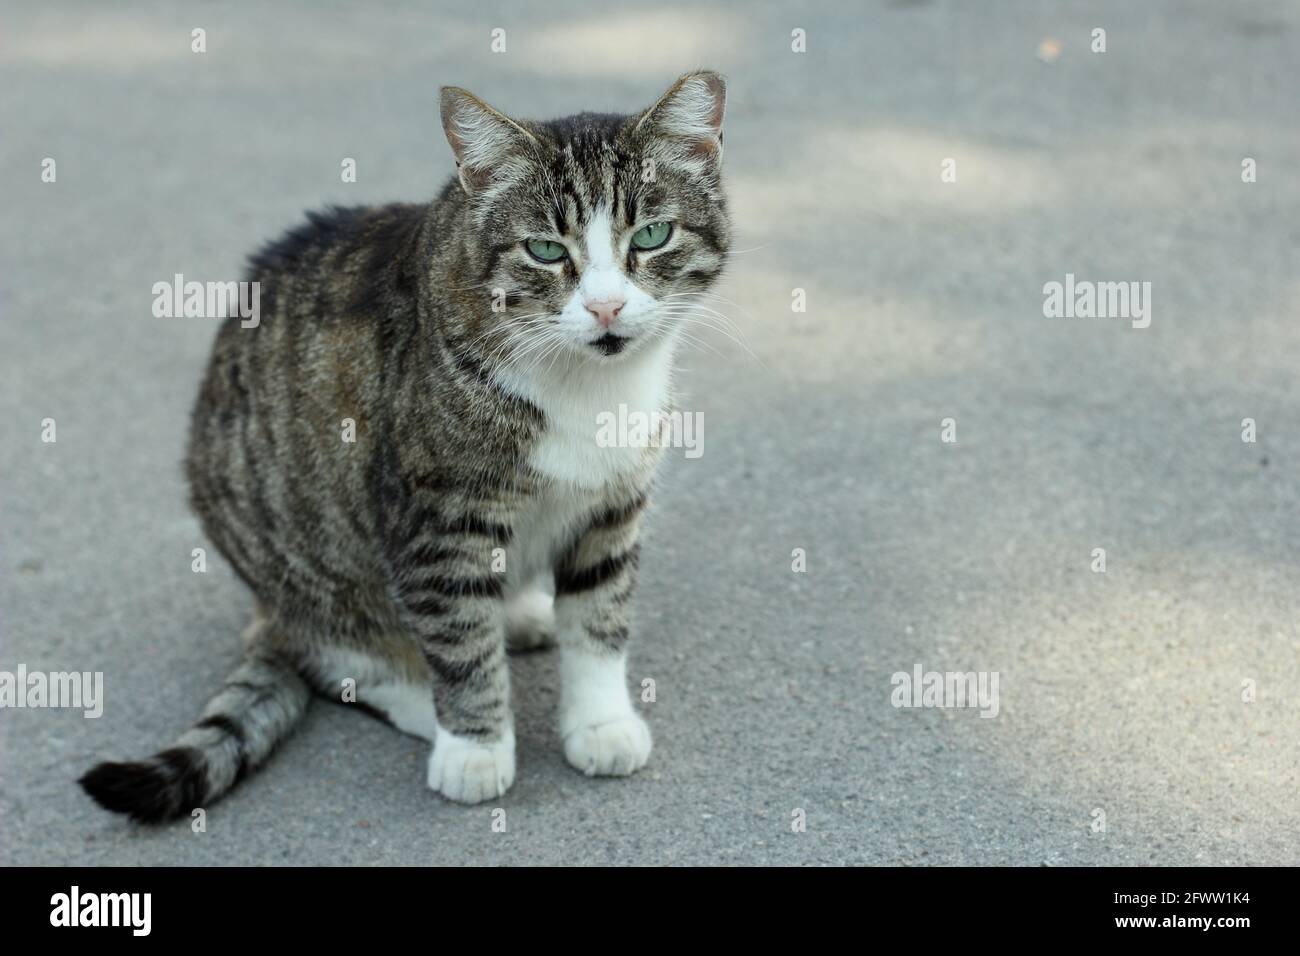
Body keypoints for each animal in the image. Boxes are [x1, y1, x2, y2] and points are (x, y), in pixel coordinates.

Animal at [78, 70, 733, 816]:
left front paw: (600, 723)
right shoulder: (439, 521)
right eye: (544, 249)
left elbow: (599, 620)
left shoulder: (612, 507)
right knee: (344, 656)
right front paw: (477, 746)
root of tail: (268, 611)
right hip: (308, 562)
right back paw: (428, 701)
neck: (589, 385)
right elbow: (461, 640)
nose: (605, 307)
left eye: (651, 235)